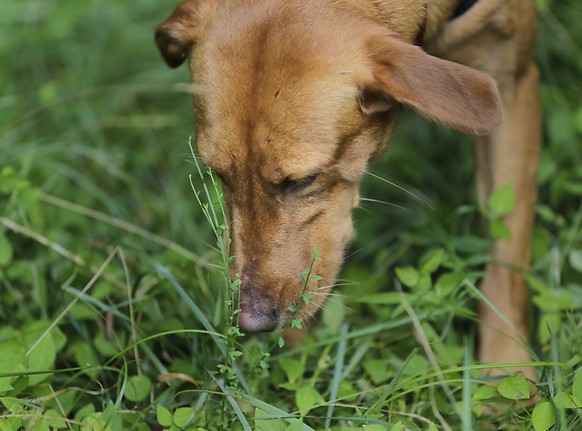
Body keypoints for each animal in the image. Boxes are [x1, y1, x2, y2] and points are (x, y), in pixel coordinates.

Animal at [156, 0, 544, 378]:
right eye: (219, 175)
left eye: (303, 180)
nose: (251, 323)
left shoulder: (513, 86)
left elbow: (506, 256)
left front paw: (507, 372)